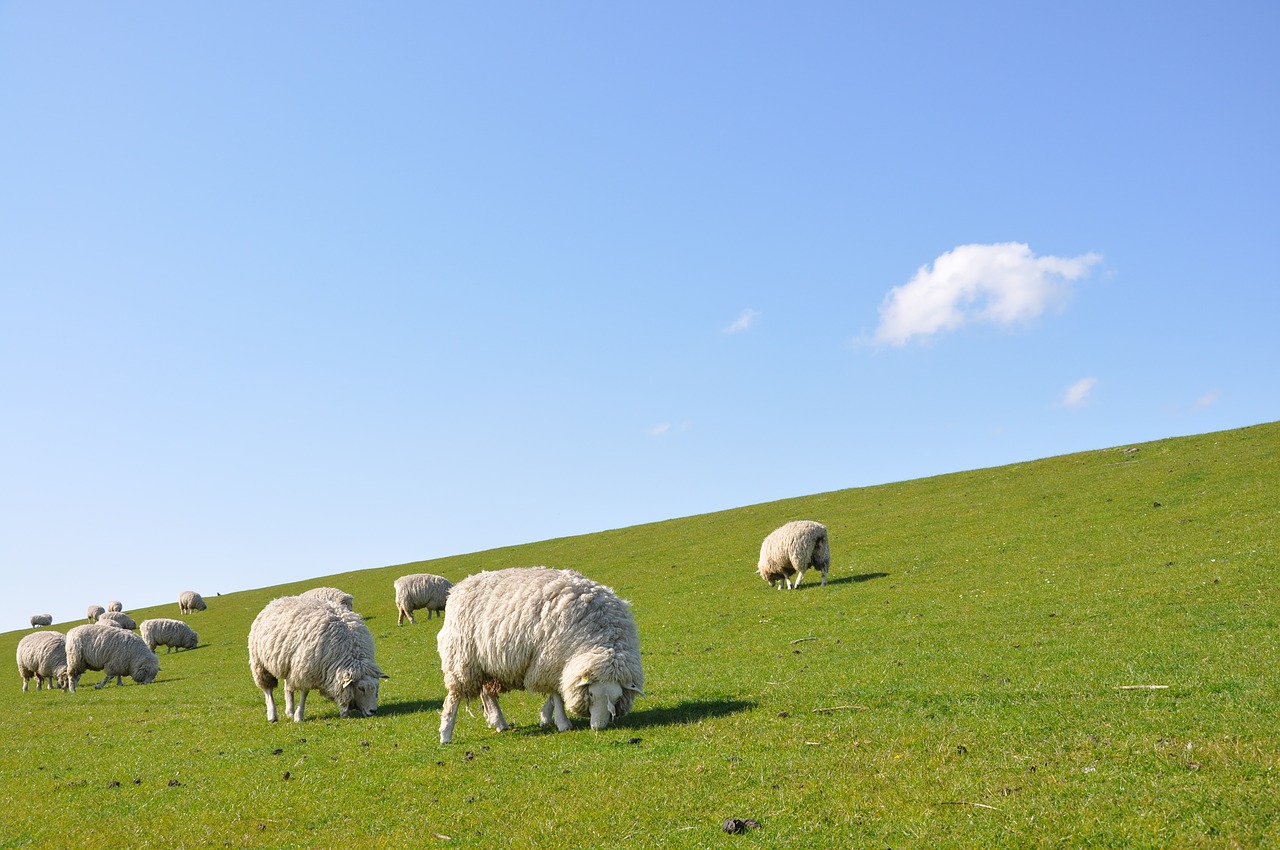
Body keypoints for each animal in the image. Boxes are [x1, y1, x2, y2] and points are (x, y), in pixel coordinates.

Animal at [247, 593, 386, 721]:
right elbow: (304, 693)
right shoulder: (305, 670)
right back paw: (273, 715)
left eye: (376, 687)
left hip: (290, 663)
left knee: (288, 688)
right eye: (360, 688)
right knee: (268, 690)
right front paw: (299, 716)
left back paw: (290, 711)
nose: (373, 711)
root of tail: (276, 600)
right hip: (260, 663)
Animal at [437, 570, 645, 742]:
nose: (598, 727)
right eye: (592, 694)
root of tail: (460, 586)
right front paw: (562, 723)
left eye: (617, 698)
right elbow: (557, 695)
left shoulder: (555, 665)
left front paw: (545, 716)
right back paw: (446, 734)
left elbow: (555, 693)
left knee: (488, 694)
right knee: (453, 699)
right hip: (461, 659)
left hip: (487, 665)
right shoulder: (549, 659)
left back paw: (499, 723)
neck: (600, 636)